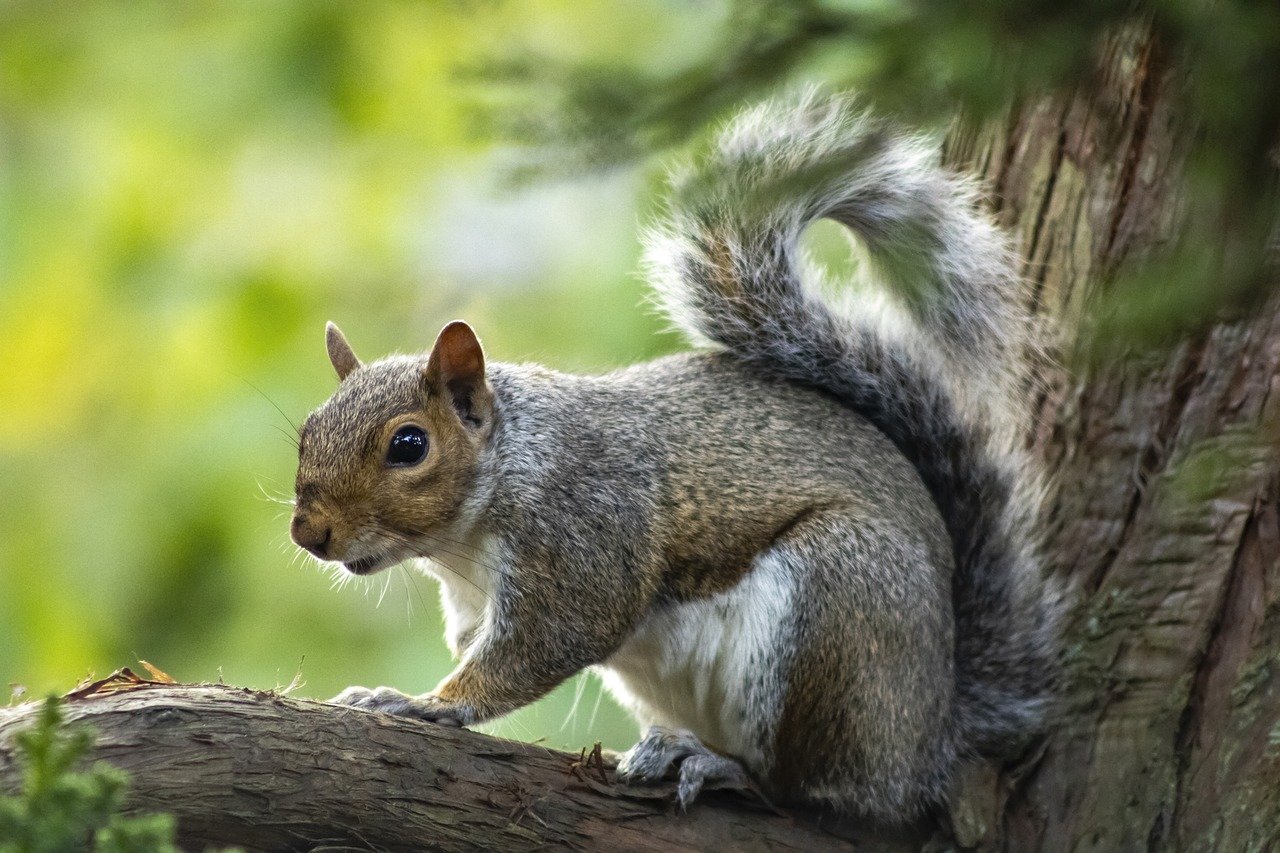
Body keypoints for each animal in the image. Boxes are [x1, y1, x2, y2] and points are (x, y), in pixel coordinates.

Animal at [293, 91, 1059, 819]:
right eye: (306, 430)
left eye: (409, 445)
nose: (309, 533)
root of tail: (929, 738)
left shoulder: (585, 535)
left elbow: (543, 645)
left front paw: (428, 701)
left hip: (840, 612)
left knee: (809, 784)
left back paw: (720, 765)